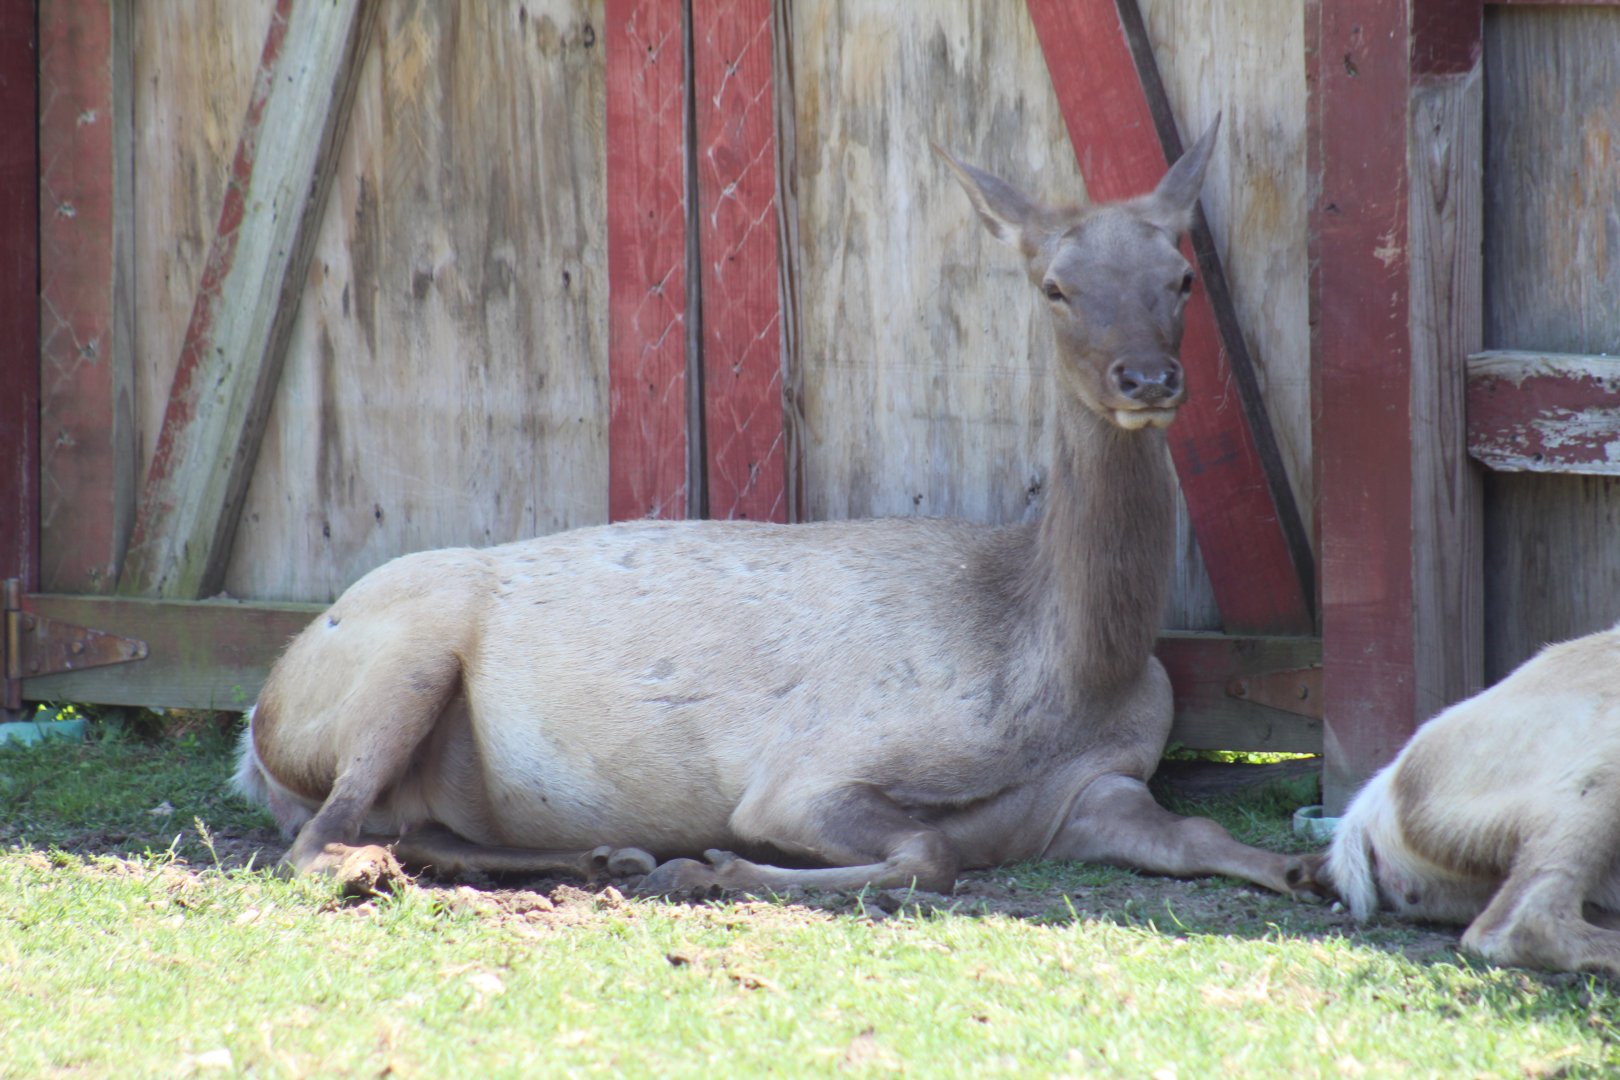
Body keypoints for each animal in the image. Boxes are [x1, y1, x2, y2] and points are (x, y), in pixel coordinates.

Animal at [236, 116, 1315, 900]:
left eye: (1181, 277)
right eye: (1055, 286)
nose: (1148, 377)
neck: (1063, 676)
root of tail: (256, 729)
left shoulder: (1104, 785)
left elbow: (1202, 829)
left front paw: (1307, 869)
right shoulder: (805, 771)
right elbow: (929, 852)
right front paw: (717, 865)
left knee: (411, 827)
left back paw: (602, 858)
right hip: (401, 654)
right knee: (316, 840)